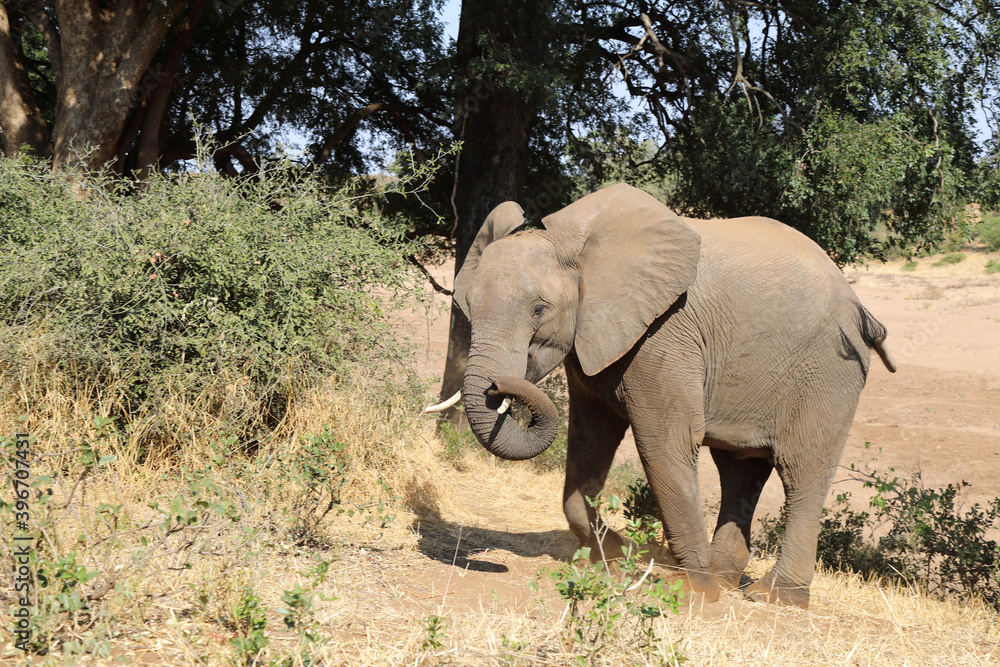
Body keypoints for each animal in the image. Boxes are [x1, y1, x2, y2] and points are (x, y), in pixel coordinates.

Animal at [434, 184, 896, 612]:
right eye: (468, 304)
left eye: (539, 311)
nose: (497, 386)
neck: (575, 247)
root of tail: (861, 308)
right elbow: (589, 440)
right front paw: (618, 558)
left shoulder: (664, 333)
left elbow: (664, 443)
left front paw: (693, 593)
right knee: (740, 469)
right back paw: (726, 578)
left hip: (829, 372)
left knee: (801, 472)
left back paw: (774, 597)